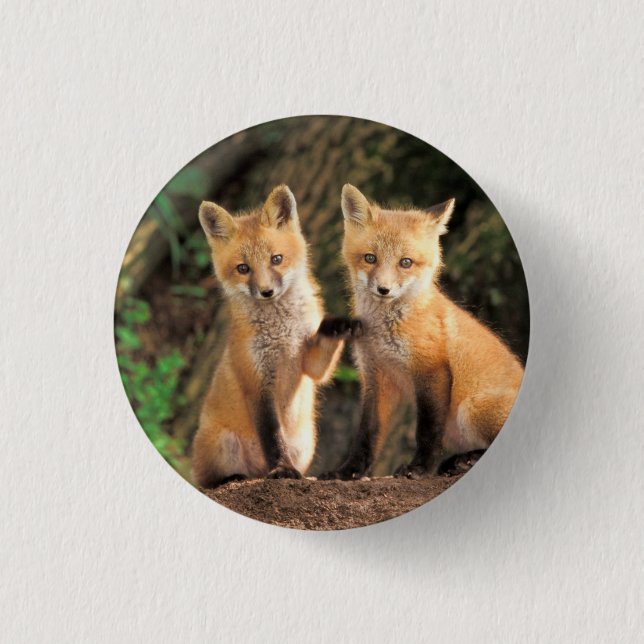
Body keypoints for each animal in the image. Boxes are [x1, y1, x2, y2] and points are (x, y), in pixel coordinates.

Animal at [191, 185, 361, 488]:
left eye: (276, 259)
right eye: (243, 268)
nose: (266, 291)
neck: (282, 334)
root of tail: (257, 472)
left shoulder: (309, 364)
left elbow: (321, 357)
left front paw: (338, 325)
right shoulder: (257, 383)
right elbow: (272, 438)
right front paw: (282, 468)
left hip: (305, 444)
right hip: (223, 444)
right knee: (208, 480)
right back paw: (234, 478)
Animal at [321, 184, 524, 480]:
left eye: (406, 262)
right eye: (370, 258)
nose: (383, 289)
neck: (384, 332)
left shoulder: (431, 370)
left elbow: (427, 430)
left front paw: (419, 468)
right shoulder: (376, 377)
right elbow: (367, 434)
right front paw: (348, 471)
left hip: (471, 408)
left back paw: (462, 461)